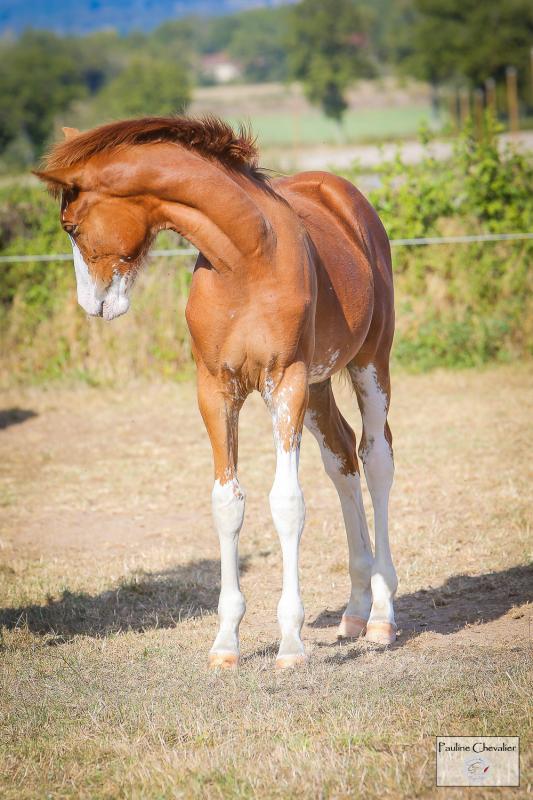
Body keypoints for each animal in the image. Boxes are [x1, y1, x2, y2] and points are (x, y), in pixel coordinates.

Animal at [35, 116, 397, 670]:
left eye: (71, 227)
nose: (92, 305)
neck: (246, 258)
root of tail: (348, 198)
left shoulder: (284, 383)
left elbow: (287, 503)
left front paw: (291, 644)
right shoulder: (216, 389)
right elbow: (228, 503)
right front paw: (226, 642)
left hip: (367, 365)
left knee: (375, 458)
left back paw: (381, 617)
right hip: (319, 386)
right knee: (343, 461)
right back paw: (354, 614)